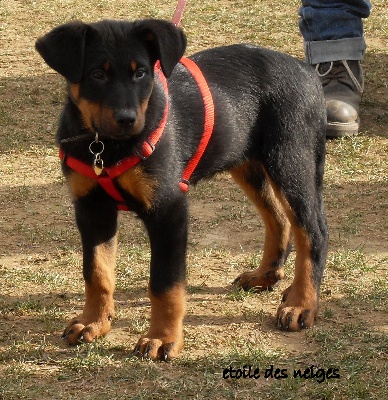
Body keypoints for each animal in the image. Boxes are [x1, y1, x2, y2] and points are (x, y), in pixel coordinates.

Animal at [35, 19, 328, 360]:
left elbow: (164, 283)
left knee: (313, 230)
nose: (127, 120)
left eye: (141, 72)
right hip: (247, 162)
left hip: (292, 161)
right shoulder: (91, 209)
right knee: (278, 218)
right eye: (97, 74)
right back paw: (265, 275)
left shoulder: (168, 210)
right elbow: (96, 272)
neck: (106, 147)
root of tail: (305, 69)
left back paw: (301, 304)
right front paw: (94, 322)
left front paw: (162, 338)